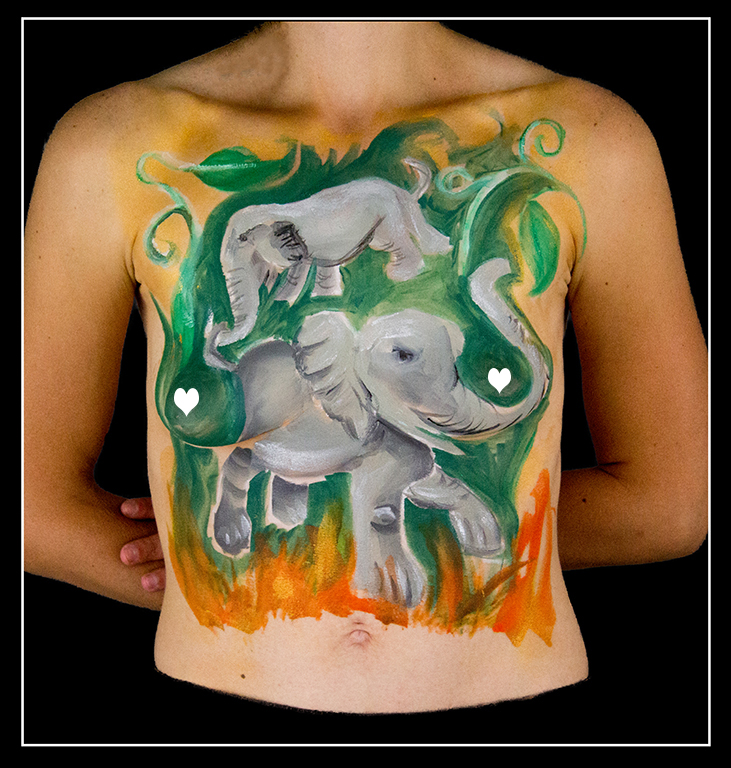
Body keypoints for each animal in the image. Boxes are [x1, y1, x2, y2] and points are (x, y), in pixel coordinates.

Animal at [203, 157, 452, 367]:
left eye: (243, 239)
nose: (220, 325)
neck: (271, 210)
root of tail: (397, 189)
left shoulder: (297, 249)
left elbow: (296, 275)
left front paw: (282, 303)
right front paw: (307, 300)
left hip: (386, 218)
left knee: (396, 242)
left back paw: (401, 275)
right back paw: (444, 250)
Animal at [204, 257, 550, 608]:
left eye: (456, 357)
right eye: (403, 355)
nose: (501, 271)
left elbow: (424, 479)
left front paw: (485, 542)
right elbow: (379, 499)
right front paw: (394, 594)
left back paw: (290, 522)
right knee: (242, 461)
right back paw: (234, 539)